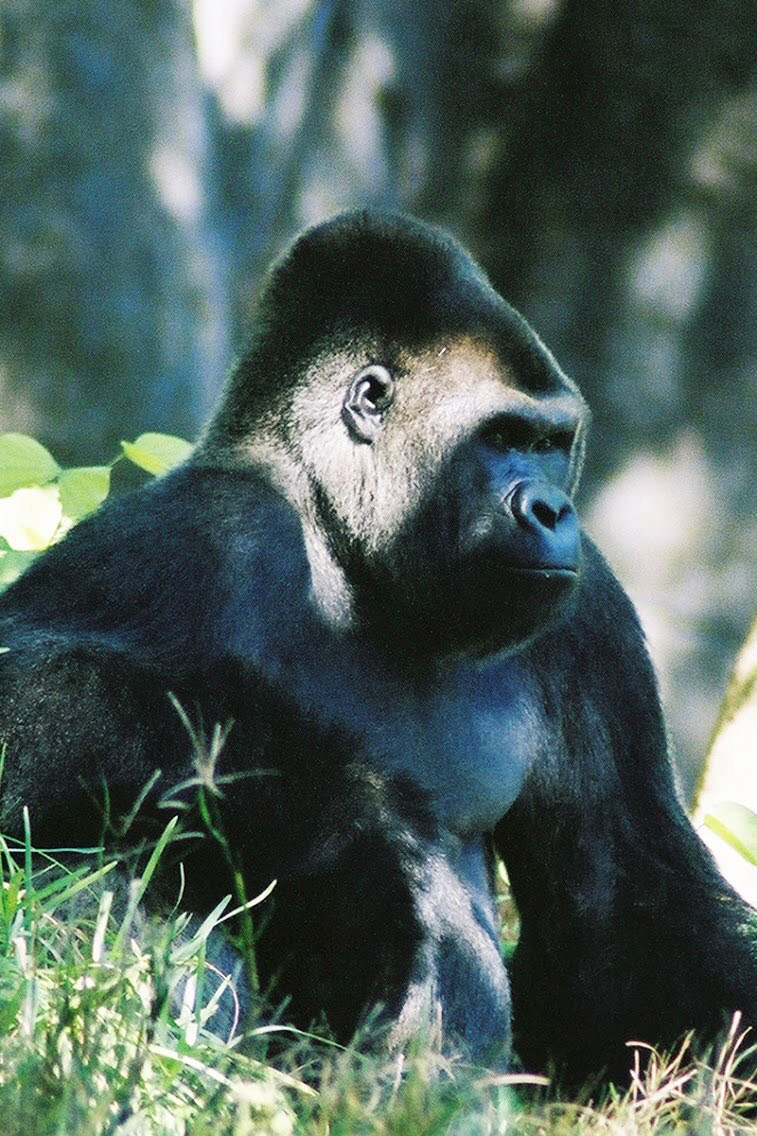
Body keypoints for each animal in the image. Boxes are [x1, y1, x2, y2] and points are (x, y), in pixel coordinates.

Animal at [0, 211, 754, 1082]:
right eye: (502, 436)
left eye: (551, 442)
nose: (554, 510)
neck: (350, 550)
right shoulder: (191, 532)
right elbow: (35, 685)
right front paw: (350, 825)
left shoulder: (587, 610)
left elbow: (626, 899)